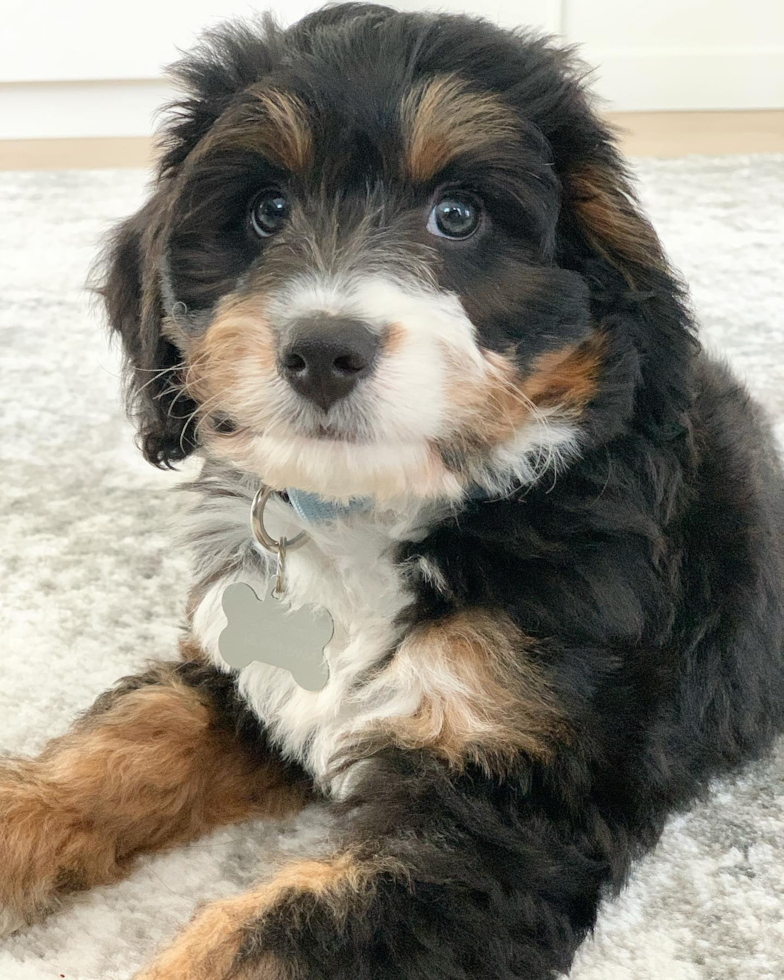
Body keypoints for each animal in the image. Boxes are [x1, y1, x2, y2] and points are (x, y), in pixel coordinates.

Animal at [1, 3, 784, 976]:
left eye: (459, 215)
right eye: (267, 211)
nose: (323, 348)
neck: (370, 510)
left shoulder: (505, 807)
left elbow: (281, 930)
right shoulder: (246, 683)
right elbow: (125, 743)